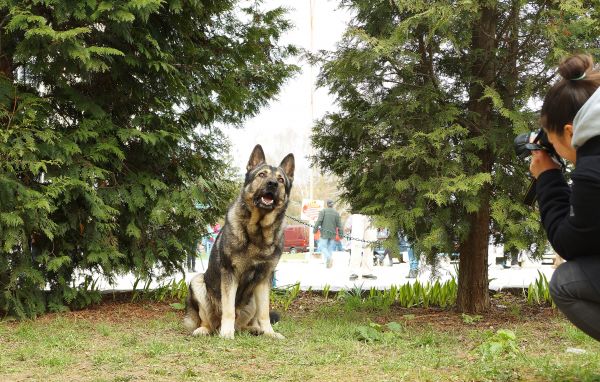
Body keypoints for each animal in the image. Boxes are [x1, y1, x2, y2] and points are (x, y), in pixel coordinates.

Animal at [184, 145, 294, 338]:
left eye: (281, 180)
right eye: (262, 175)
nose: (272, 184)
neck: (257, 232)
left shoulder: (264, 279)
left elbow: (265, 312)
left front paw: (270, 333)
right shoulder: (230, 275)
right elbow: (228, 309)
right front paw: (227, 334)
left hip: (252, 299)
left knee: (244, 323)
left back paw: (255, 328)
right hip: (197, 282)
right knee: (210, 322)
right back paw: (206, 329)